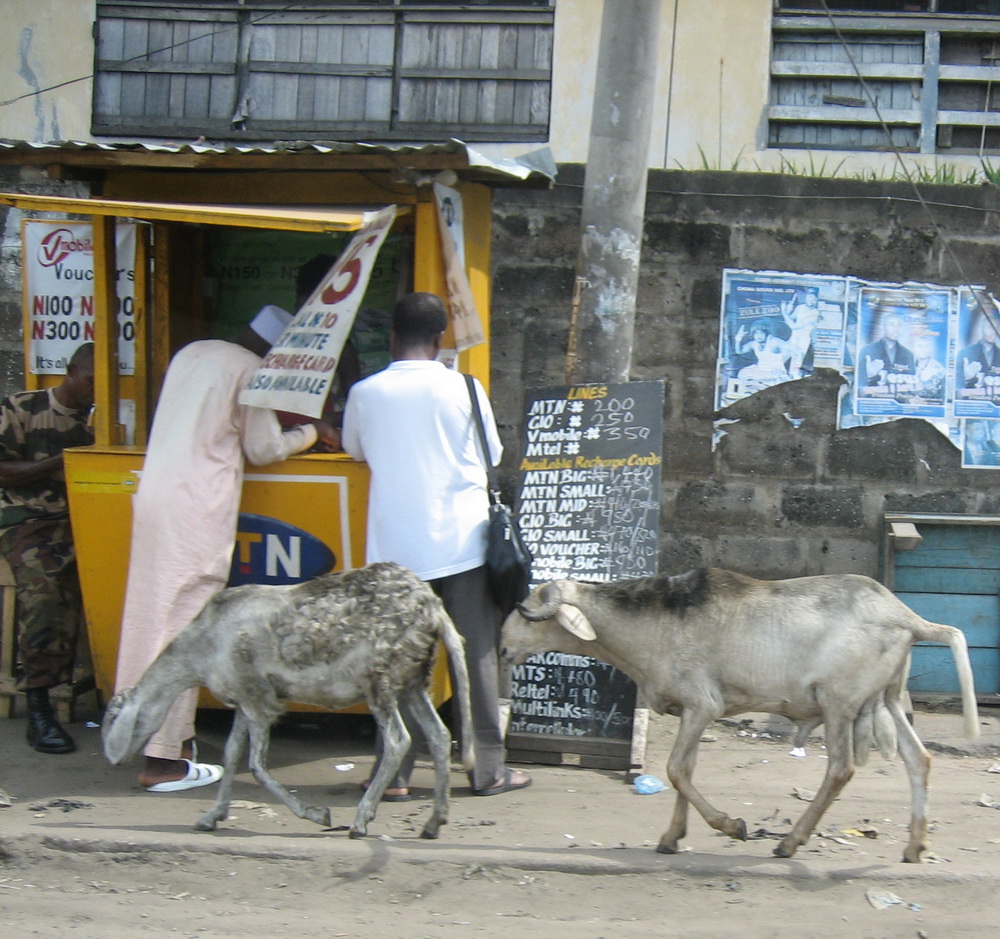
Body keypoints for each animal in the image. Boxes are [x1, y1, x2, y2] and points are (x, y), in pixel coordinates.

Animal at [104, 560, 476, 840]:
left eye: (112, 719)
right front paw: (212, 816)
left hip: (380, 676)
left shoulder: (259, 701)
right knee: (439, 735)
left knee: (399, 741)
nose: (115, 762)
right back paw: (434, 822)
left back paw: (361, 820)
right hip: (413, 677)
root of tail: (431, 606)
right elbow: (232, 753)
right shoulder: (244, 698)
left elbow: (256, 766)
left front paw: (316, 814)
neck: (199, 650)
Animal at [500, 568, 976, 864]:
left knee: (840, 769)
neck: (655, 621)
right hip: (887, 697)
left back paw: (790, 842)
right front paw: (671, 838)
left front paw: (731, 826)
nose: (502, 647)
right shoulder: (692, 712)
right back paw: (914, 846)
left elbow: (676, 770)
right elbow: (686, 771)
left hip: (839, 703)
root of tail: (905, 616)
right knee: (919, 761)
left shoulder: (702, 704)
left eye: (529, 610)